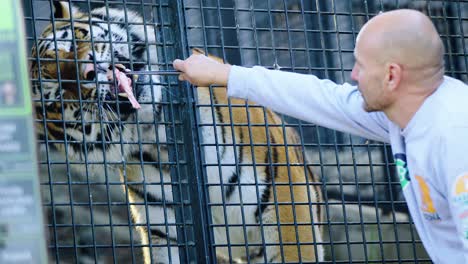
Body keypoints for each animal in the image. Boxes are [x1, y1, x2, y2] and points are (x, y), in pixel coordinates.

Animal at [31, 1, 324, 262]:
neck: (156, 132)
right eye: (59, 95)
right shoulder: (164, 229)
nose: (89, 71)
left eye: (76, 40)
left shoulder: (286, 204)